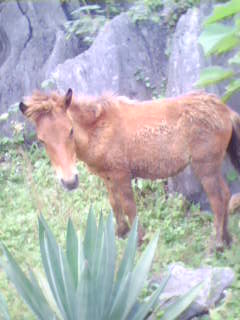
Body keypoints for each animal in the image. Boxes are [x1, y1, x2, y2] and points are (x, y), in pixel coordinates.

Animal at [19, 89, 240, 250]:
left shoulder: (121, 174)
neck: (98, 129)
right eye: (41, 140)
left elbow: (128, 206)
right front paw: (120, 233)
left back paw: (216, 244)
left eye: (70, 131)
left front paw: (138, 239)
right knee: (226, 195)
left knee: (218, 200)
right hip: (212, 167)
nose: (70, 181)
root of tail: (226, 111)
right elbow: (114, 204)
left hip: (205, 168)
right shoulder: (107, 177)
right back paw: (227, 240)